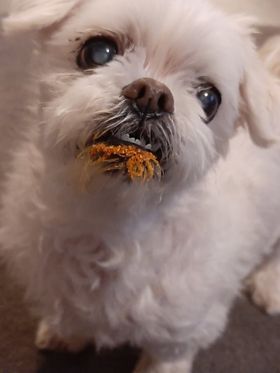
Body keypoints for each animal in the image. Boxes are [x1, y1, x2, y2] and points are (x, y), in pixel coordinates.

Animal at [0, 0, 280, 370]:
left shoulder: (181, 331)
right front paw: (65, 334)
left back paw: (271, 284)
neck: (108, 217)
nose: (152, 95)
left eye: (209, 99)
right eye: (98, 51)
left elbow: (165, 358)